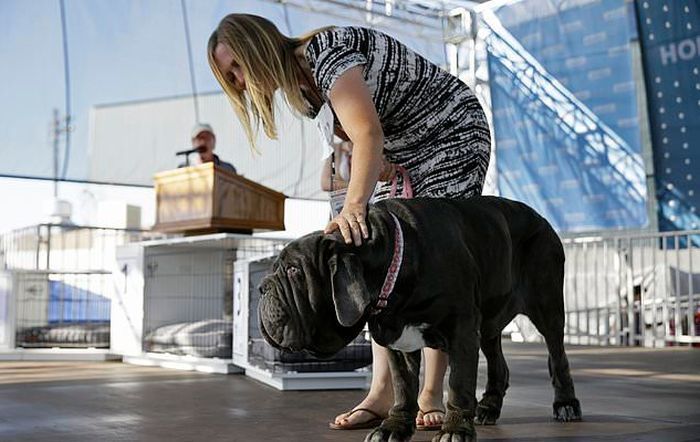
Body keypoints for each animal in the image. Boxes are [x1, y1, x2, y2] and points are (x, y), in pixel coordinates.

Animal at [260, 198, 584, 442]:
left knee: (558, 357)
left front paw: (455, 430)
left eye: (294, 271)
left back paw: (566, 404)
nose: (263, 287)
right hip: (490, 320)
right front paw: (393, 428)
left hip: (547, 306)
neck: (394, 262)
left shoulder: (461, 331)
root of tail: (541, 218)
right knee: (497, 363)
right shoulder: (396, 339)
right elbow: (403, 387)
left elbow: (458, 384)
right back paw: (489, 407)